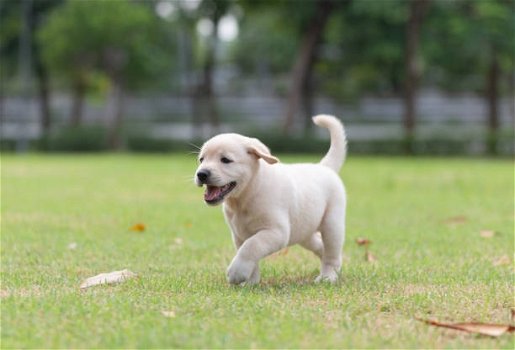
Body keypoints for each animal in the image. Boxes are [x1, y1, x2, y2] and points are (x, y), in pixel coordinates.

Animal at [196, 115, 348, 284]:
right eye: (201, 159)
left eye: (226, 160)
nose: (201, 174)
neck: (246, 197)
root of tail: (324, 167)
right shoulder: (239, 236)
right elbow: (248, 252)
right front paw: (251, 282)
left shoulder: (276, 232)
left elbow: (251, 246)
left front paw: (237, 272)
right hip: (305, 232)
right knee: (322, 247)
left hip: (332, 225)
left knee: (332, 253)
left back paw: (328, 276)